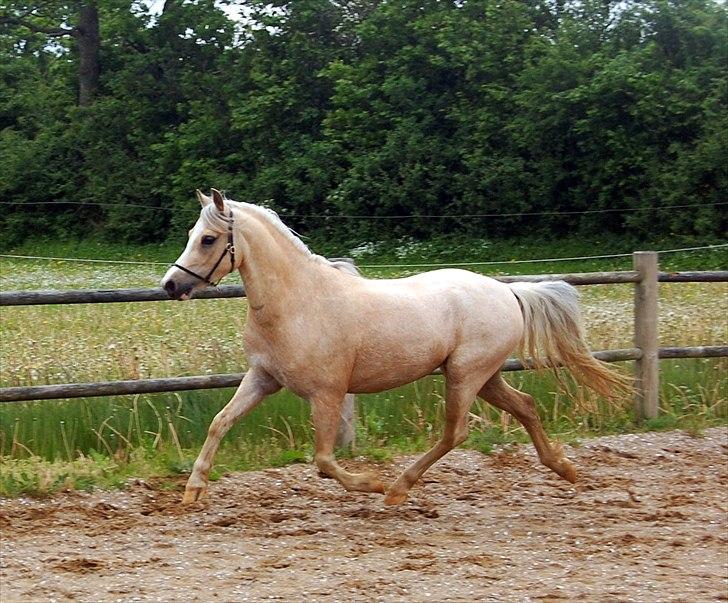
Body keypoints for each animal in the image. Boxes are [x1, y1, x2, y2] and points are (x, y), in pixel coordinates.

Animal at [162, 189, 626, 506]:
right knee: (525, 406)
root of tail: (508, 292)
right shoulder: (263, 378)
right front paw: (193, 490)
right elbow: (220, 422)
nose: (170, 284)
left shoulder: (327, 393)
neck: (297, 302)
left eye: (207, 239)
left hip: (466, 375)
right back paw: (564, 468)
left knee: (456, 432)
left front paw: (371, 483)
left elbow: (324, 461)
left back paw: (398, 489)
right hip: (485, 375)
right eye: (191, 234)